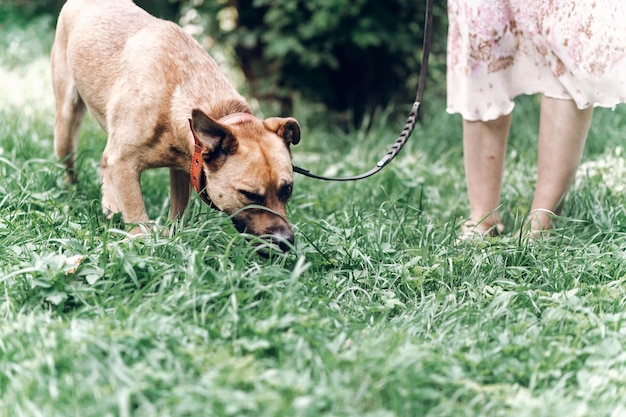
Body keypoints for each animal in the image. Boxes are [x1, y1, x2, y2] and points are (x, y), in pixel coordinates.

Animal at [51, 0, 300, 250]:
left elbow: (179, 215)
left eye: (287, 189)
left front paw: (172, 239)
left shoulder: (184, 170)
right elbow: (137, 216)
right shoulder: (124, 165)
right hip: (65, 132)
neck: (176, 96)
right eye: (249, 195)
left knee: (104, 160)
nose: (286, 242)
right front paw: (142, 244)